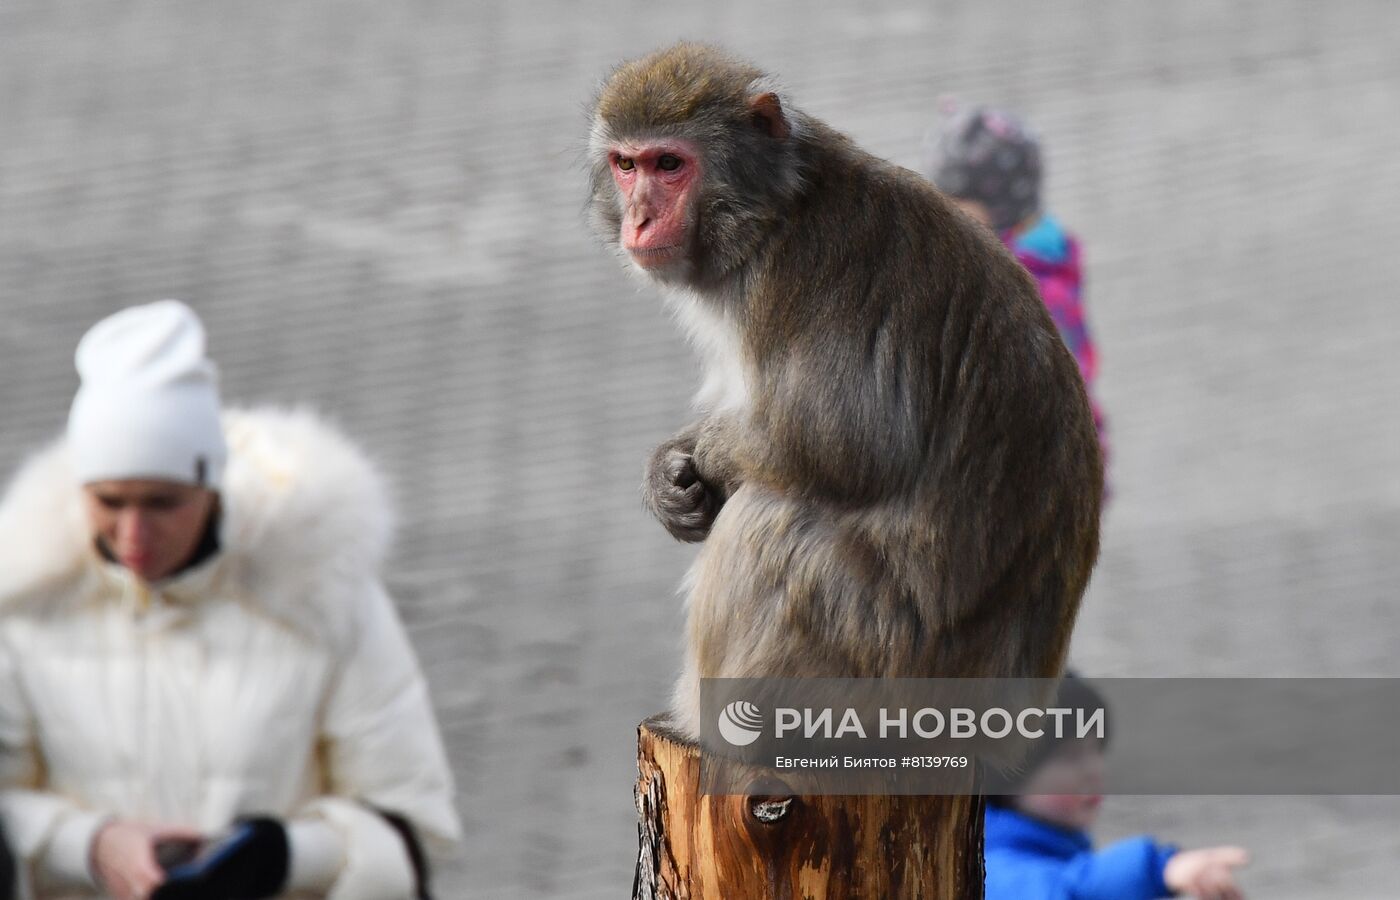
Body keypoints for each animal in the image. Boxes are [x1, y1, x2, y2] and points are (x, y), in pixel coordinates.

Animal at [585, 44, 1097, 739]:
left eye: (670, 165)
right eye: (626, 164)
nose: (639, 219)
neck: (775, 213)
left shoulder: (805, 270)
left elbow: (842, 443)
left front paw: (710, 455)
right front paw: (668, 473)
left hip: (876, 664)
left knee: (770, 522)